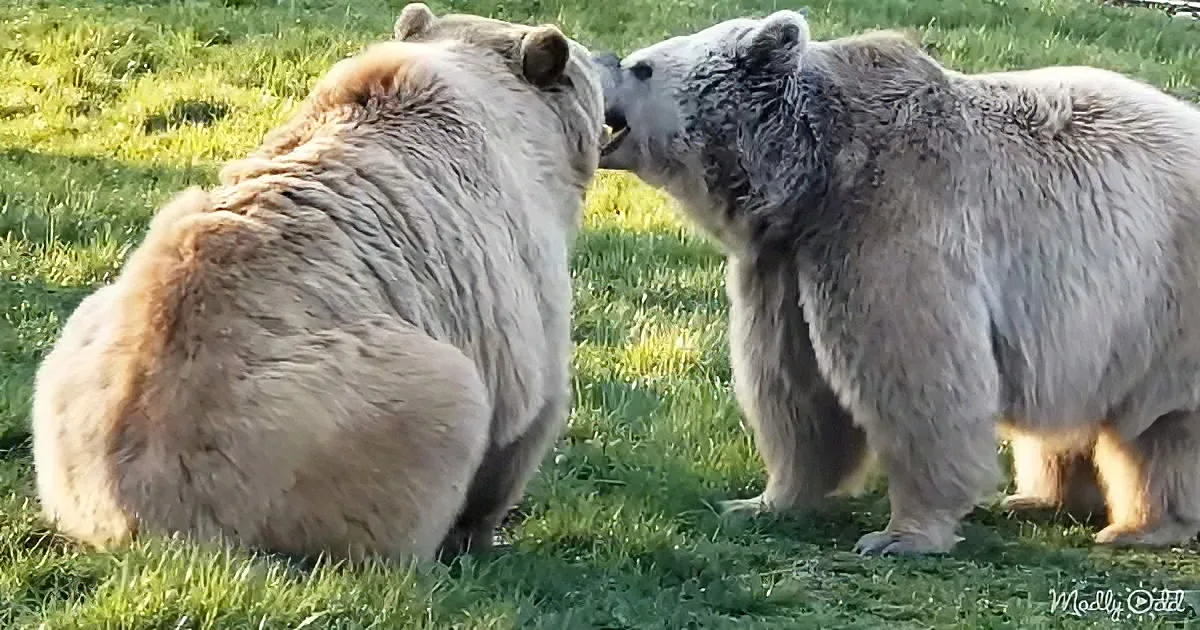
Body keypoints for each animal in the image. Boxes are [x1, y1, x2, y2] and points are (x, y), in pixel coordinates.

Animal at [29, 2, 606, 564]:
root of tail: (147, 520)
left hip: (79, 353)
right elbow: (530, 412)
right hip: (357, 416)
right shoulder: (518, 268)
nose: (606, 59)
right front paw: (483, 532)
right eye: (588, 67)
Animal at [592, 10, 1200, 555]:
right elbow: (794, 388)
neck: (816, 173)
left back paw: (1141, 525)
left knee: (1162, 425)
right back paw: (1038, 499)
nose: (602, 58)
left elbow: (918, 380)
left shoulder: (890, 226)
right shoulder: (784, 265)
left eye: (642, 67)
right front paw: (762, 502)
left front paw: (899, 535)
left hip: (1163, 300)